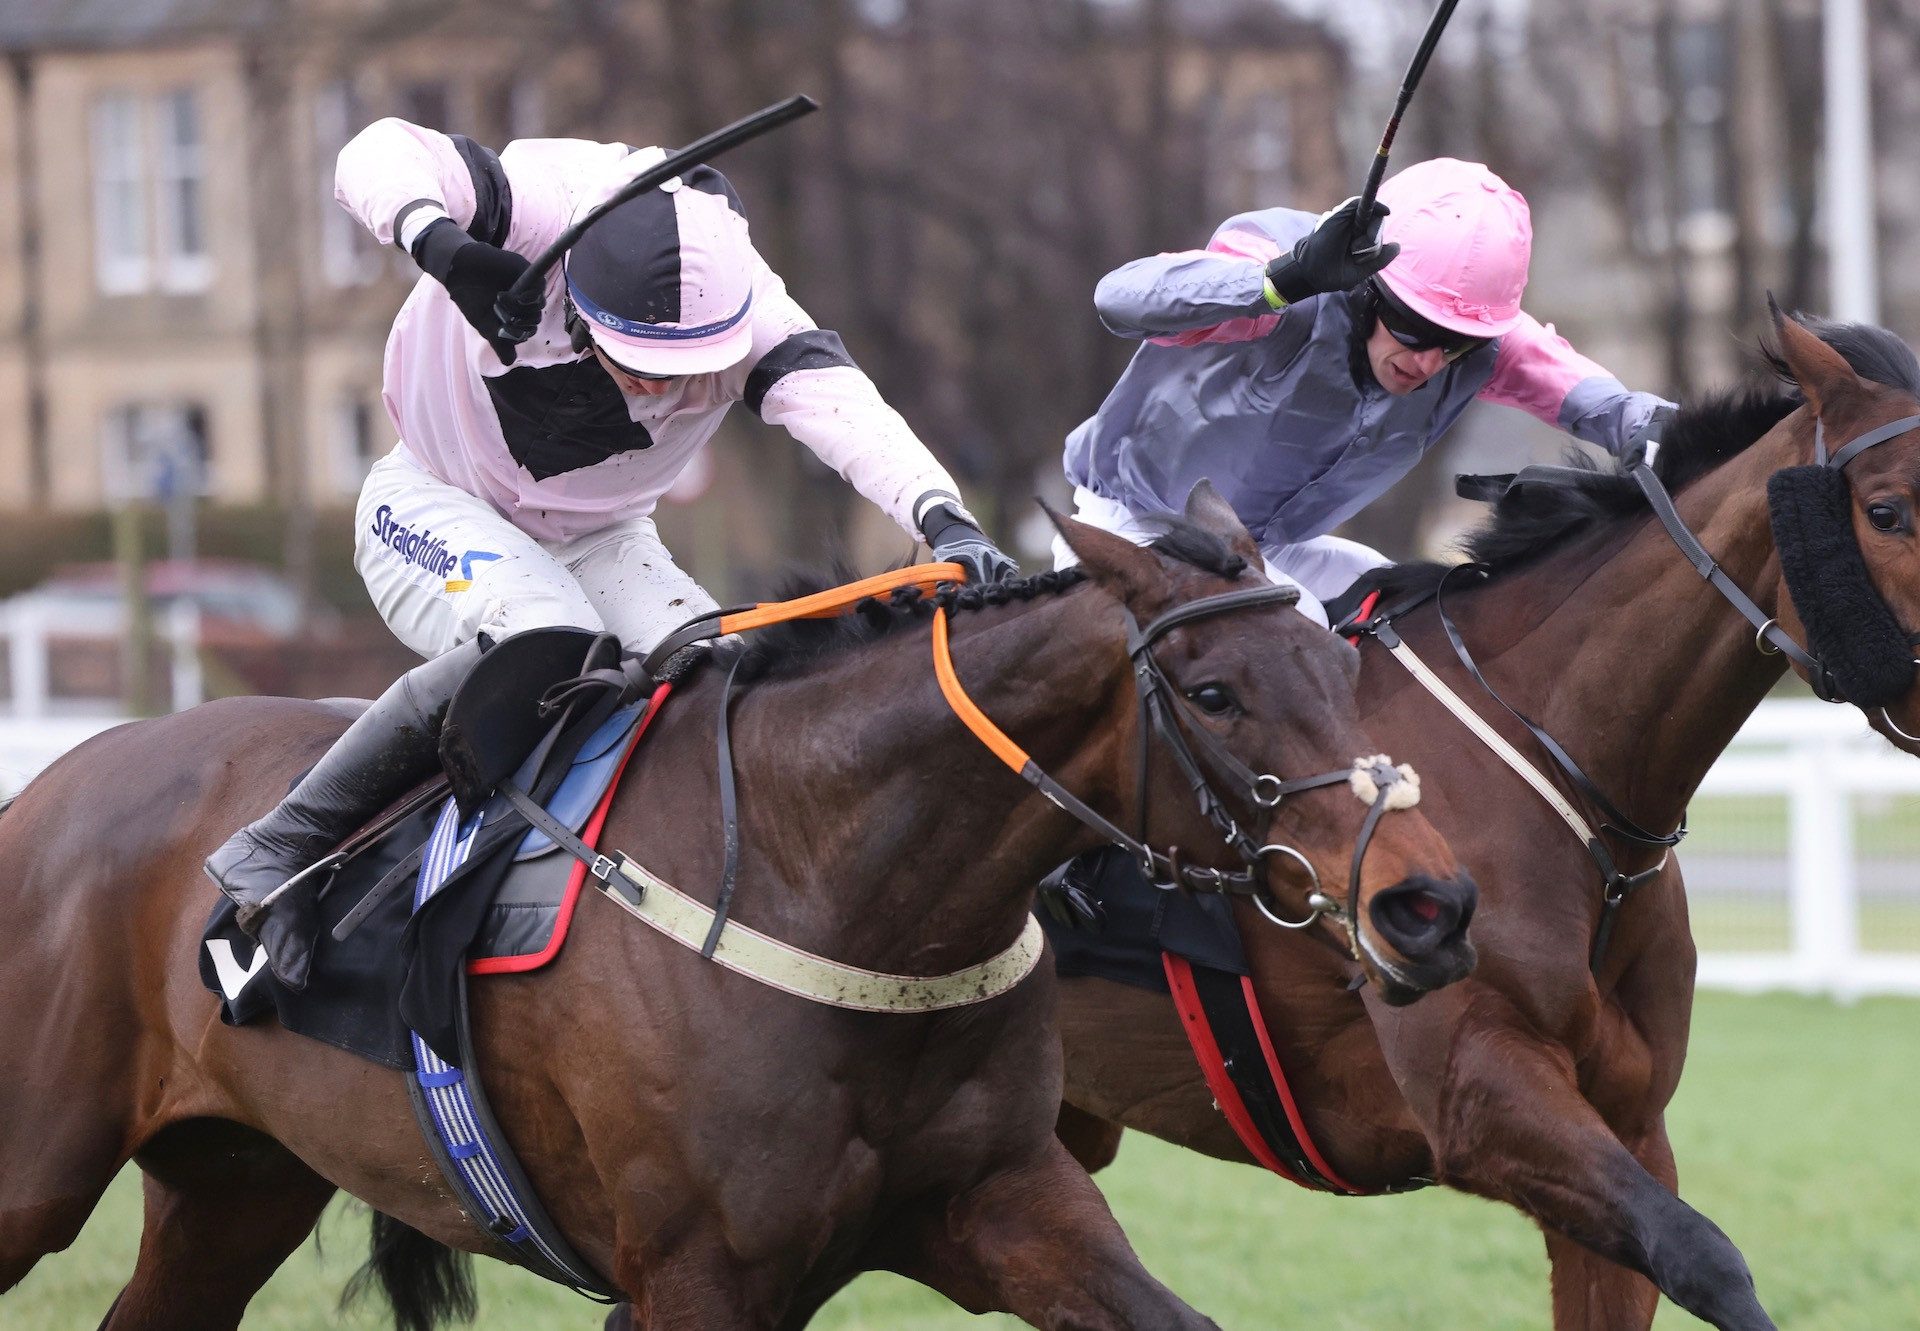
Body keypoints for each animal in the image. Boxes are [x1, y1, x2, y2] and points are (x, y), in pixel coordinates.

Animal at [0, 489, 1482, 1329]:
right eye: (1217, 693)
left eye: (1339, 665)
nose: (1431, 903)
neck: (832, 886)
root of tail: (52, 782)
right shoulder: (696, 1270)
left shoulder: (997, 1199)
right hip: (38, 1170)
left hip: (235, 1182)